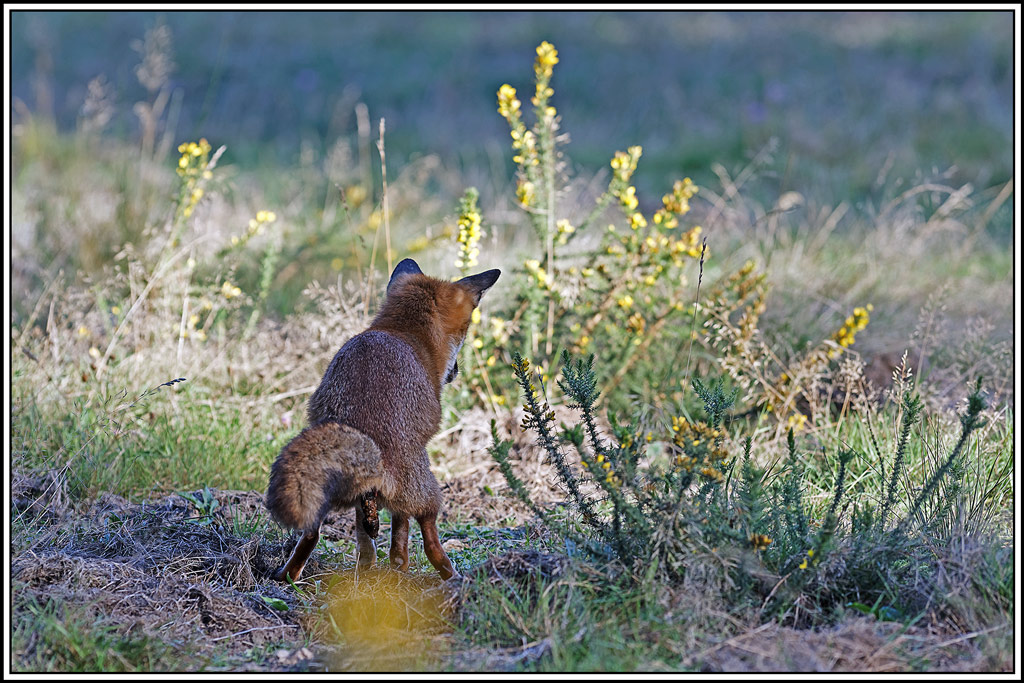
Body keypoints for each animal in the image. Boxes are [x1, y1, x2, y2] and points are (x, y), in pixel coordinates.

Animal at [265, 258, 500, 582]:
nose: (455, 372)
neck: (400, 331)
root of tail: (366, 432)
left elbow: (383, 531)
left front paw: (387, 562)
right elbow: (402, 525)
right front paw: (400, 563)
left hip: (326, 493)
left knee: (313, 534)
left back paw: (291, 575)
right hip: (427, 485)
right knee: (429, 535)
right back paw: (452, 575)